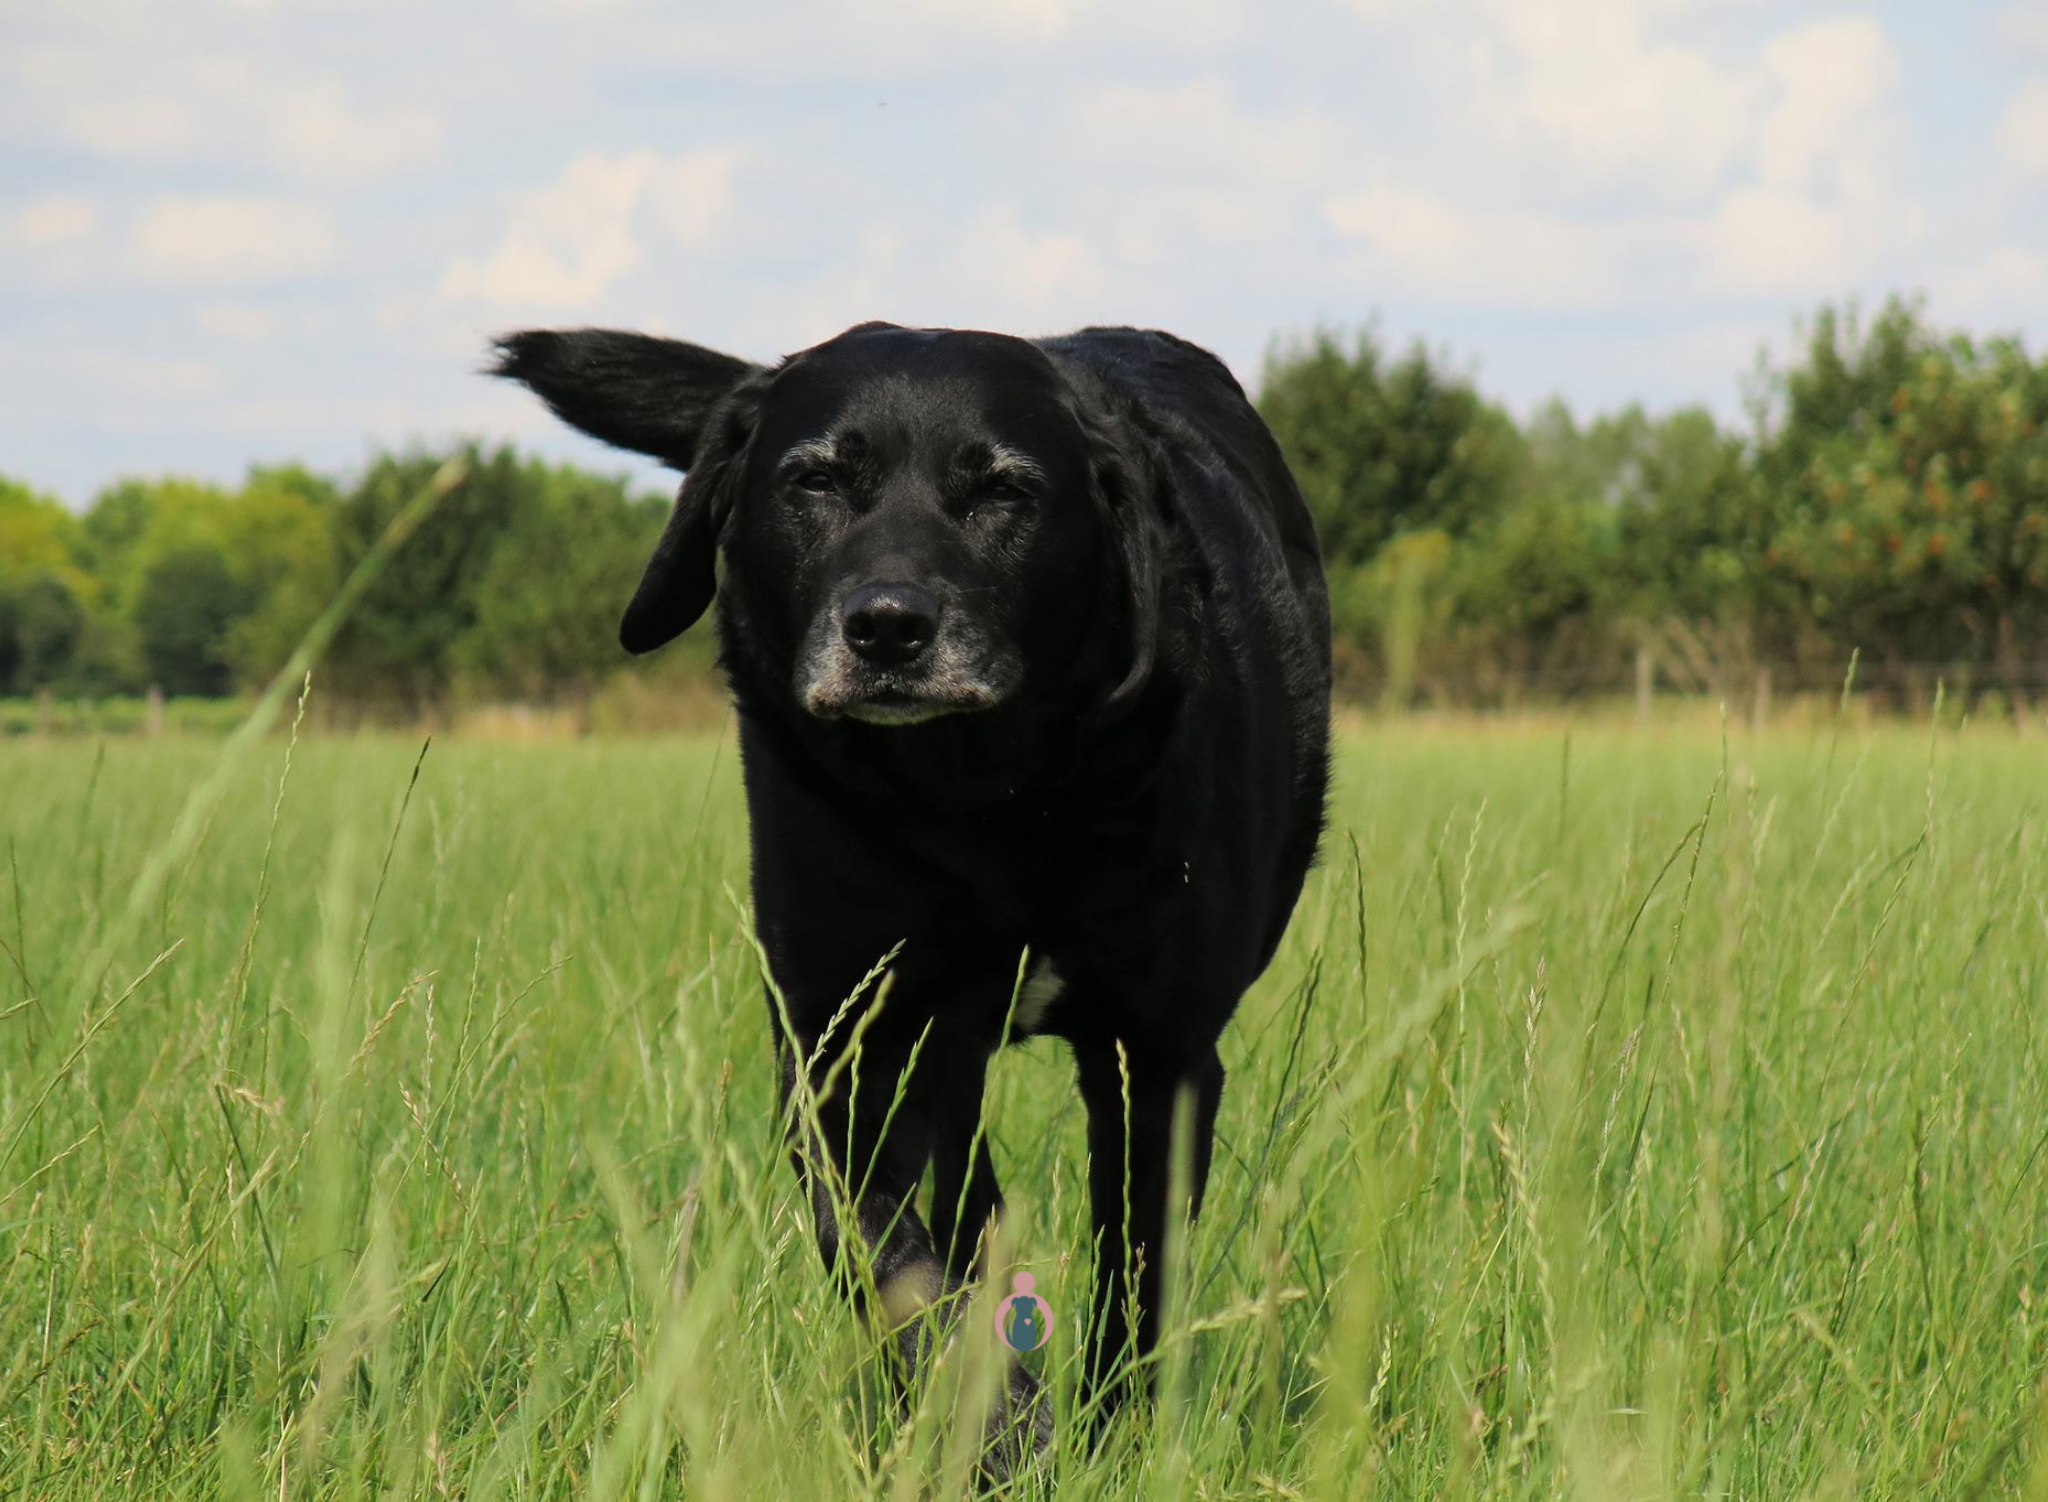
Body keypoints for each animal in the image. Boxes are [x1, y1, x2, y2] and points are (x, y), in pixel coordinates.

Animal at [489, 321, 1335, 1450]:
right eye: (815, 480)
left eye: (1004, 491)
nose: (887, 626)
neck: (977, 805)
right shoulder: (841, 1046)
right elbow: (901, 1273)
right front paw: (1000, 1429)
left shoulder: (1156, 1055)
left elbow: (1137, 1275)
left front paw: (1108, 1436)